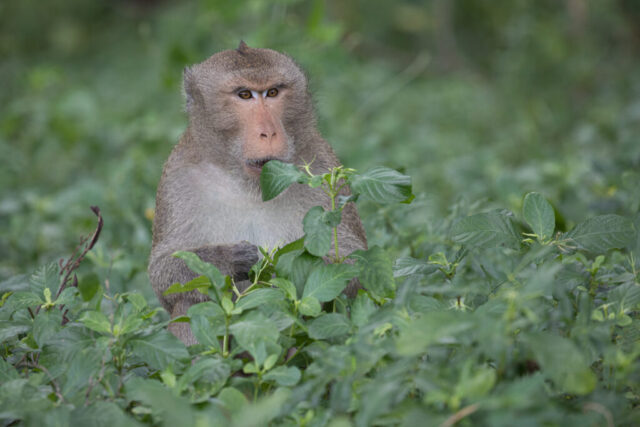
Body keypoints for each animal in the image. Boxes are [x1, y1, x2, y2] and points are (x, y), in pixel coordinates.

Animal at [148, 41, 367, 345]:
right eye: (245, 95)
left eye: (273, 92)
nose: (269, 133)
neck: (249, 185)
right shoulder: (177, 177)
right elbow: (164, 273)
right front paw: (228, 259)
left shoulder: (323, 167)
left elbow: (353, 263)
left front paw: (282, 264)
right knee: (190, 303)